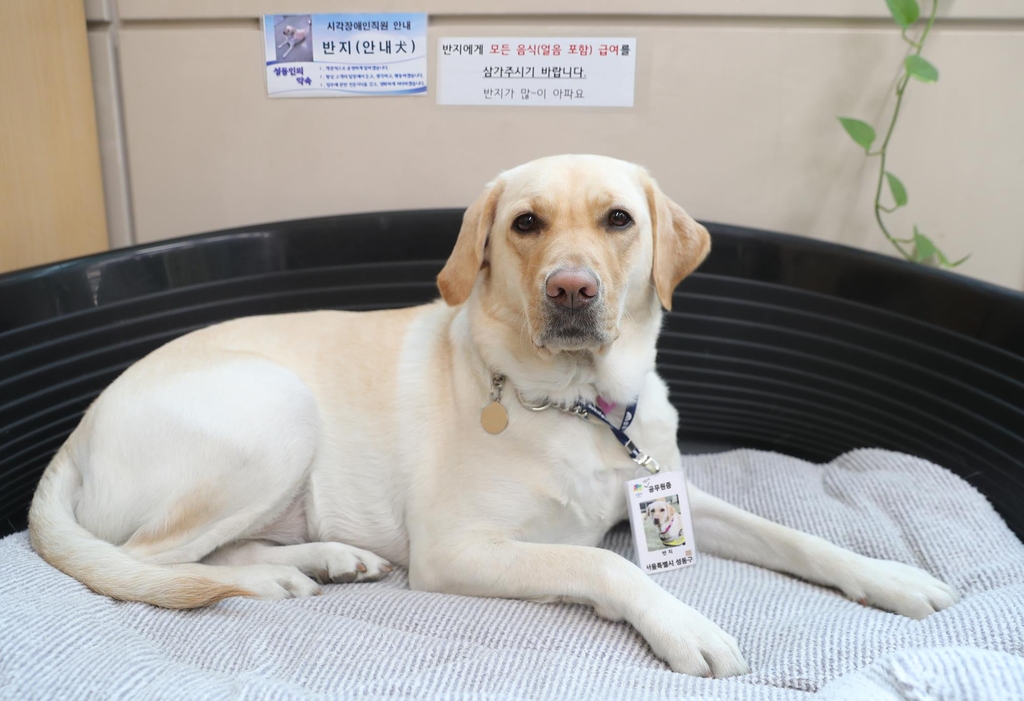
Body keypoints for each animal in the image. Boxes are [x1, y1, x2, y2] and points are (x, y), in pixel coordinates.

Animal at [32, 155, 958, 675]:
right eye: (525, 223)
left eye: (618, 219)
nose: (571, 289)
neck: (582, 403)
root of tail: (76, 433)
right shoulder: (459, 550)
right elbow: (605, 564)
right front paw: (683, 623)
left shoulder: (669, 488)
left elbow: (794, 536)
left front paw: (892, 577)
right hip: (273, 411)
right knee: (146, 563)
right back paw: (271, 578)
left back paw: (322, 559)